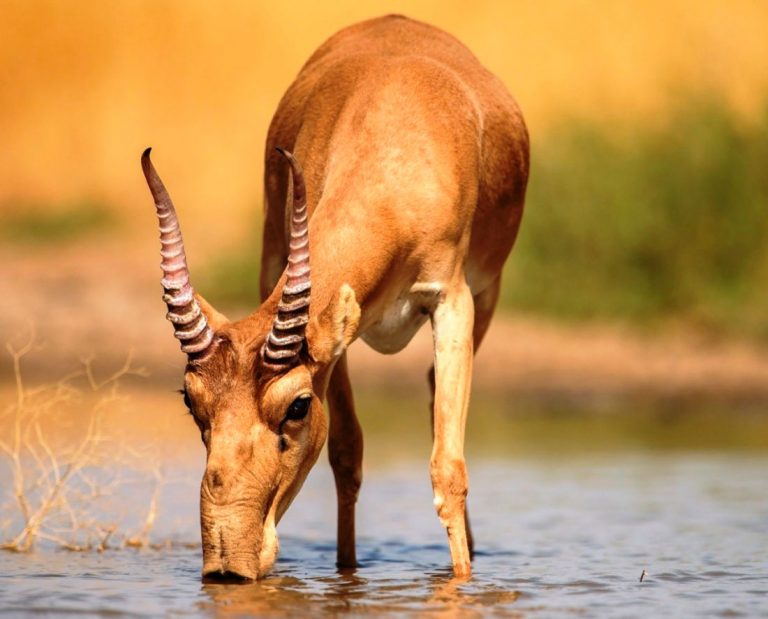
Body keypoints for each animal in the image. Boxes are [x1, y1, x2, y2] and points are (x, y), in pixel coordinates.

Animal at [141, 17, 528, 584]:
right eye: (192, 402)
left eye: (297, 405)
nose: (227, 566)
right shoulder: (332, 331)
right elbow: (347, 454)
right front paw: (348, 576)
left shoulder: (453, 302)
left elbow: (447, 469)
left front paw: (460, 582)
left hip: (488, 298)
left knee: (435, 399)